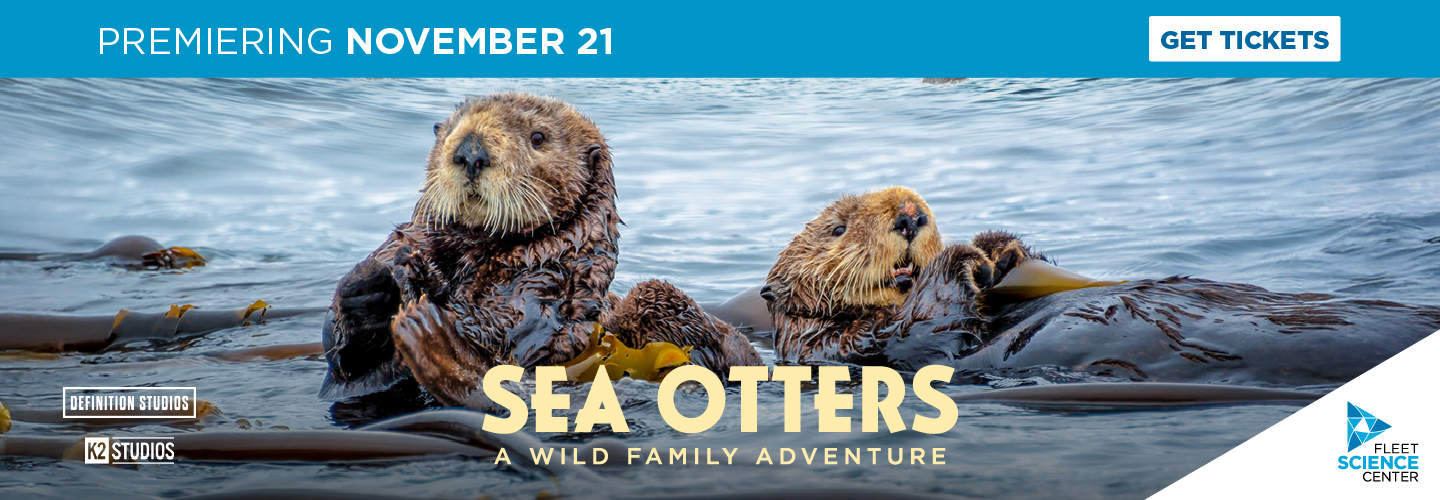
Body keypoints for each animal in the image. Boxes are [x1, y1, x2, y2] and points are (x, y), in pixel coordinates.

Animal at [761, 187, 1440, 385]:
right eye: (838, 228)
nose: (910, 215)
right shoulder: (851, 348)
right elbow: (929, 330)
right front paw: (963, 256)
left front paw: (1000, 247)